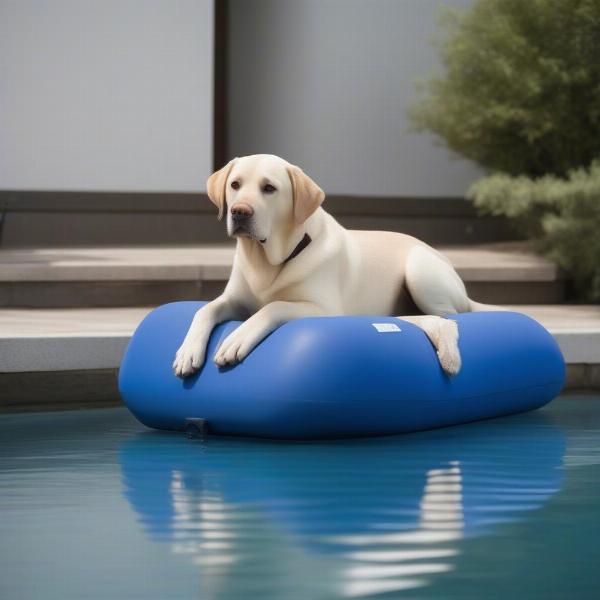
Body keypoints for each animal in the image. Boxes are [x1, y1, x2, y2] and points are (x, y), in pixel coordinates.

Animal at [172, 156, 492, 380]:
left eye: (269, 188)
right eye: (235, 185)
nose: (240, 212)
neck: (267, 261)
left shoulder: (322, 308)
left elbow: (272, 306)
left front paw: (236, 339)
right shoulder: (233, 299)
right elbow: (205, 310)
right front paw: (187, 351)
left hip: (420, 269)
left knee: (450, 318)